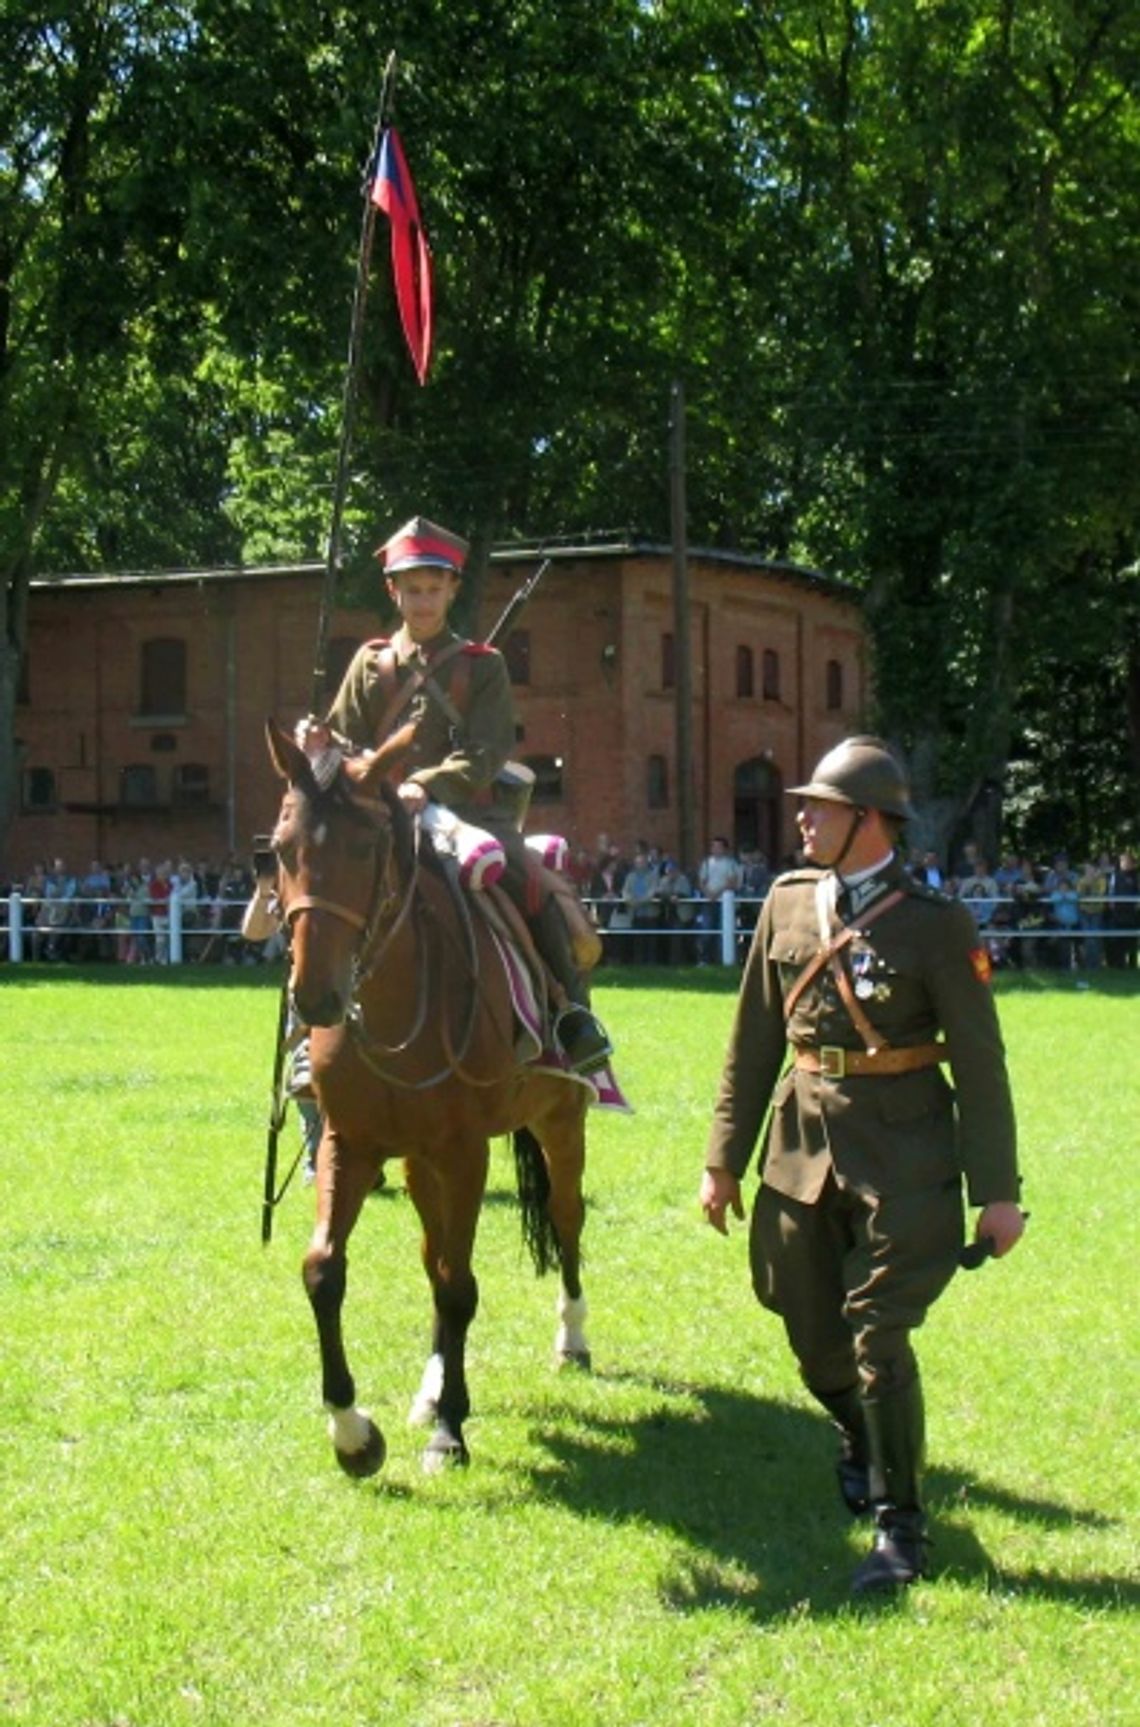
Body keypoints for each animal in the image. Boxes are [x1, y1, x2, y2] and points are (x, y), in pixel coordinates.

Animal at [264, 714, 590, 1471]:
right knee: (433, 1253)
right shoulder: (349, 1144)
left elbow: (459, 1285)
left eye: (364, 845)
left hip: (562, 1121)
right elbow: (324, 1270)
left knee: (564, 1218)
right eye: (281, 848)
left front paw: (451, 1429)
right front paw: (352, 1430)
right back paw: (429, 1388)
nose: (315, 995)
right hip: (417, 1163)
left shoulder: (465, 1151)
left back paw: (572, 1339)